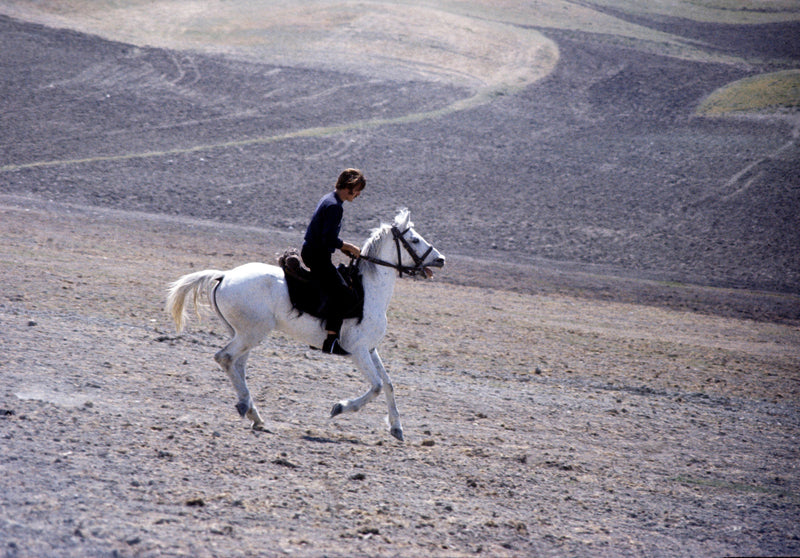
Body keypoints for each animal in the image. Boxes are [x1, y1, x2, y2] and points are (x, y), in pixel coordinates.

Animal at [166, 210, 446, 442]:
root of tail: (224, 276)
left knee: (237, 365)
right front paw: (340, 407)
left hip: (245, 335)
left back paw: (254, 414)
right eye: (415, 240)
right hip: (251, 334)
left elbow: (388, 384)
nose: (441, 260)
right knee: (224, 358)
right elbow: (376, 386)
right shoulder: (357, 350)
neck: (369, 290)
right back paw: (247, 407)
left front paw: (397, 428)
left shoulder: (370, 349)